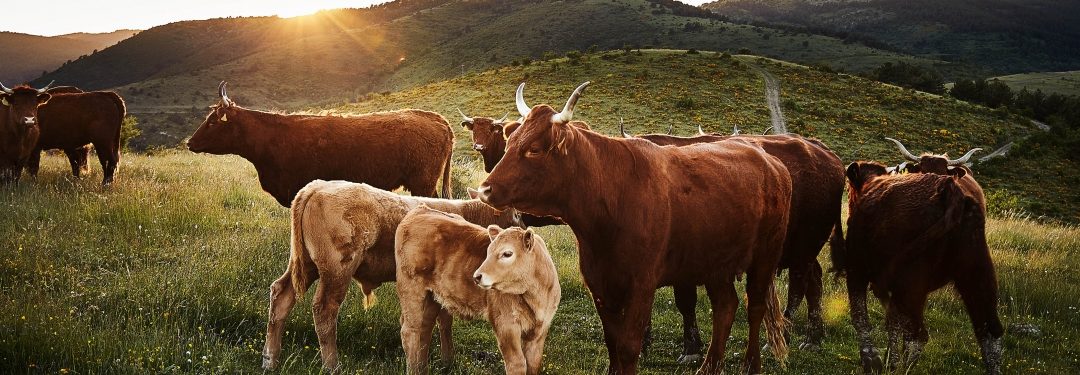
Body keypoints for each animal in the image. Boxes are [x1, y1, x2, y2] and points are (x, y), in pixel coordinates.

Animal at [397, 205, 565, 375]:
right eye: (488, 252)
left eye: (507, 253)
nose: (477, 276)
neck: (536, 296)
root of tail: (421, 210)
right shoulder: (506, 325)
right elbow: (517, 363)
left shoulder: (540, 329)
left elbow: (533, 363)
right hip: (410, 289)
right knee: (410, 331)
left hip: (432, 296)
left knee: (424, 329)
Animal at [477, 81, 790, 373]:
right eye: (510, 142)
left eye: (534, 149)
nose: (485, 189)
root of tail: (770, 161)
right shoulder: (600, 284)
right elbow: (612, 341)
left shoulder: (642, 285)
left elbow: (629, 346)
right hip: (716, 263)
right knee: (725, 307)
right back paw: (709, 367)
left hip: (766, 256)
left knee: (755, 307)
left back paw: (751, 365)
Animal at [622, 130, 846, 360]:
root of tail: (823, 152)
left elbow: (685, 302)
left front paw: (691, 348)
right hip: (803, 251)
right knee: (814, 282)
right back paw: (813, 338)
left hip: (804, 247)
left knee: (797, 288)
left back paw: (781, 338)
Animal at [842, 161, 1002, 375]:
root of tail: (949, 189)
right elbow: (892, 321)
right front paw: (889, 361)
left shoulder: (856, 269)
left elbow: (860, 316)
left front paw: (873, 360)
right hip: (977, 272)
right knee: (989, 329)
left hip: (911, 282)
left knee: (918, 335)